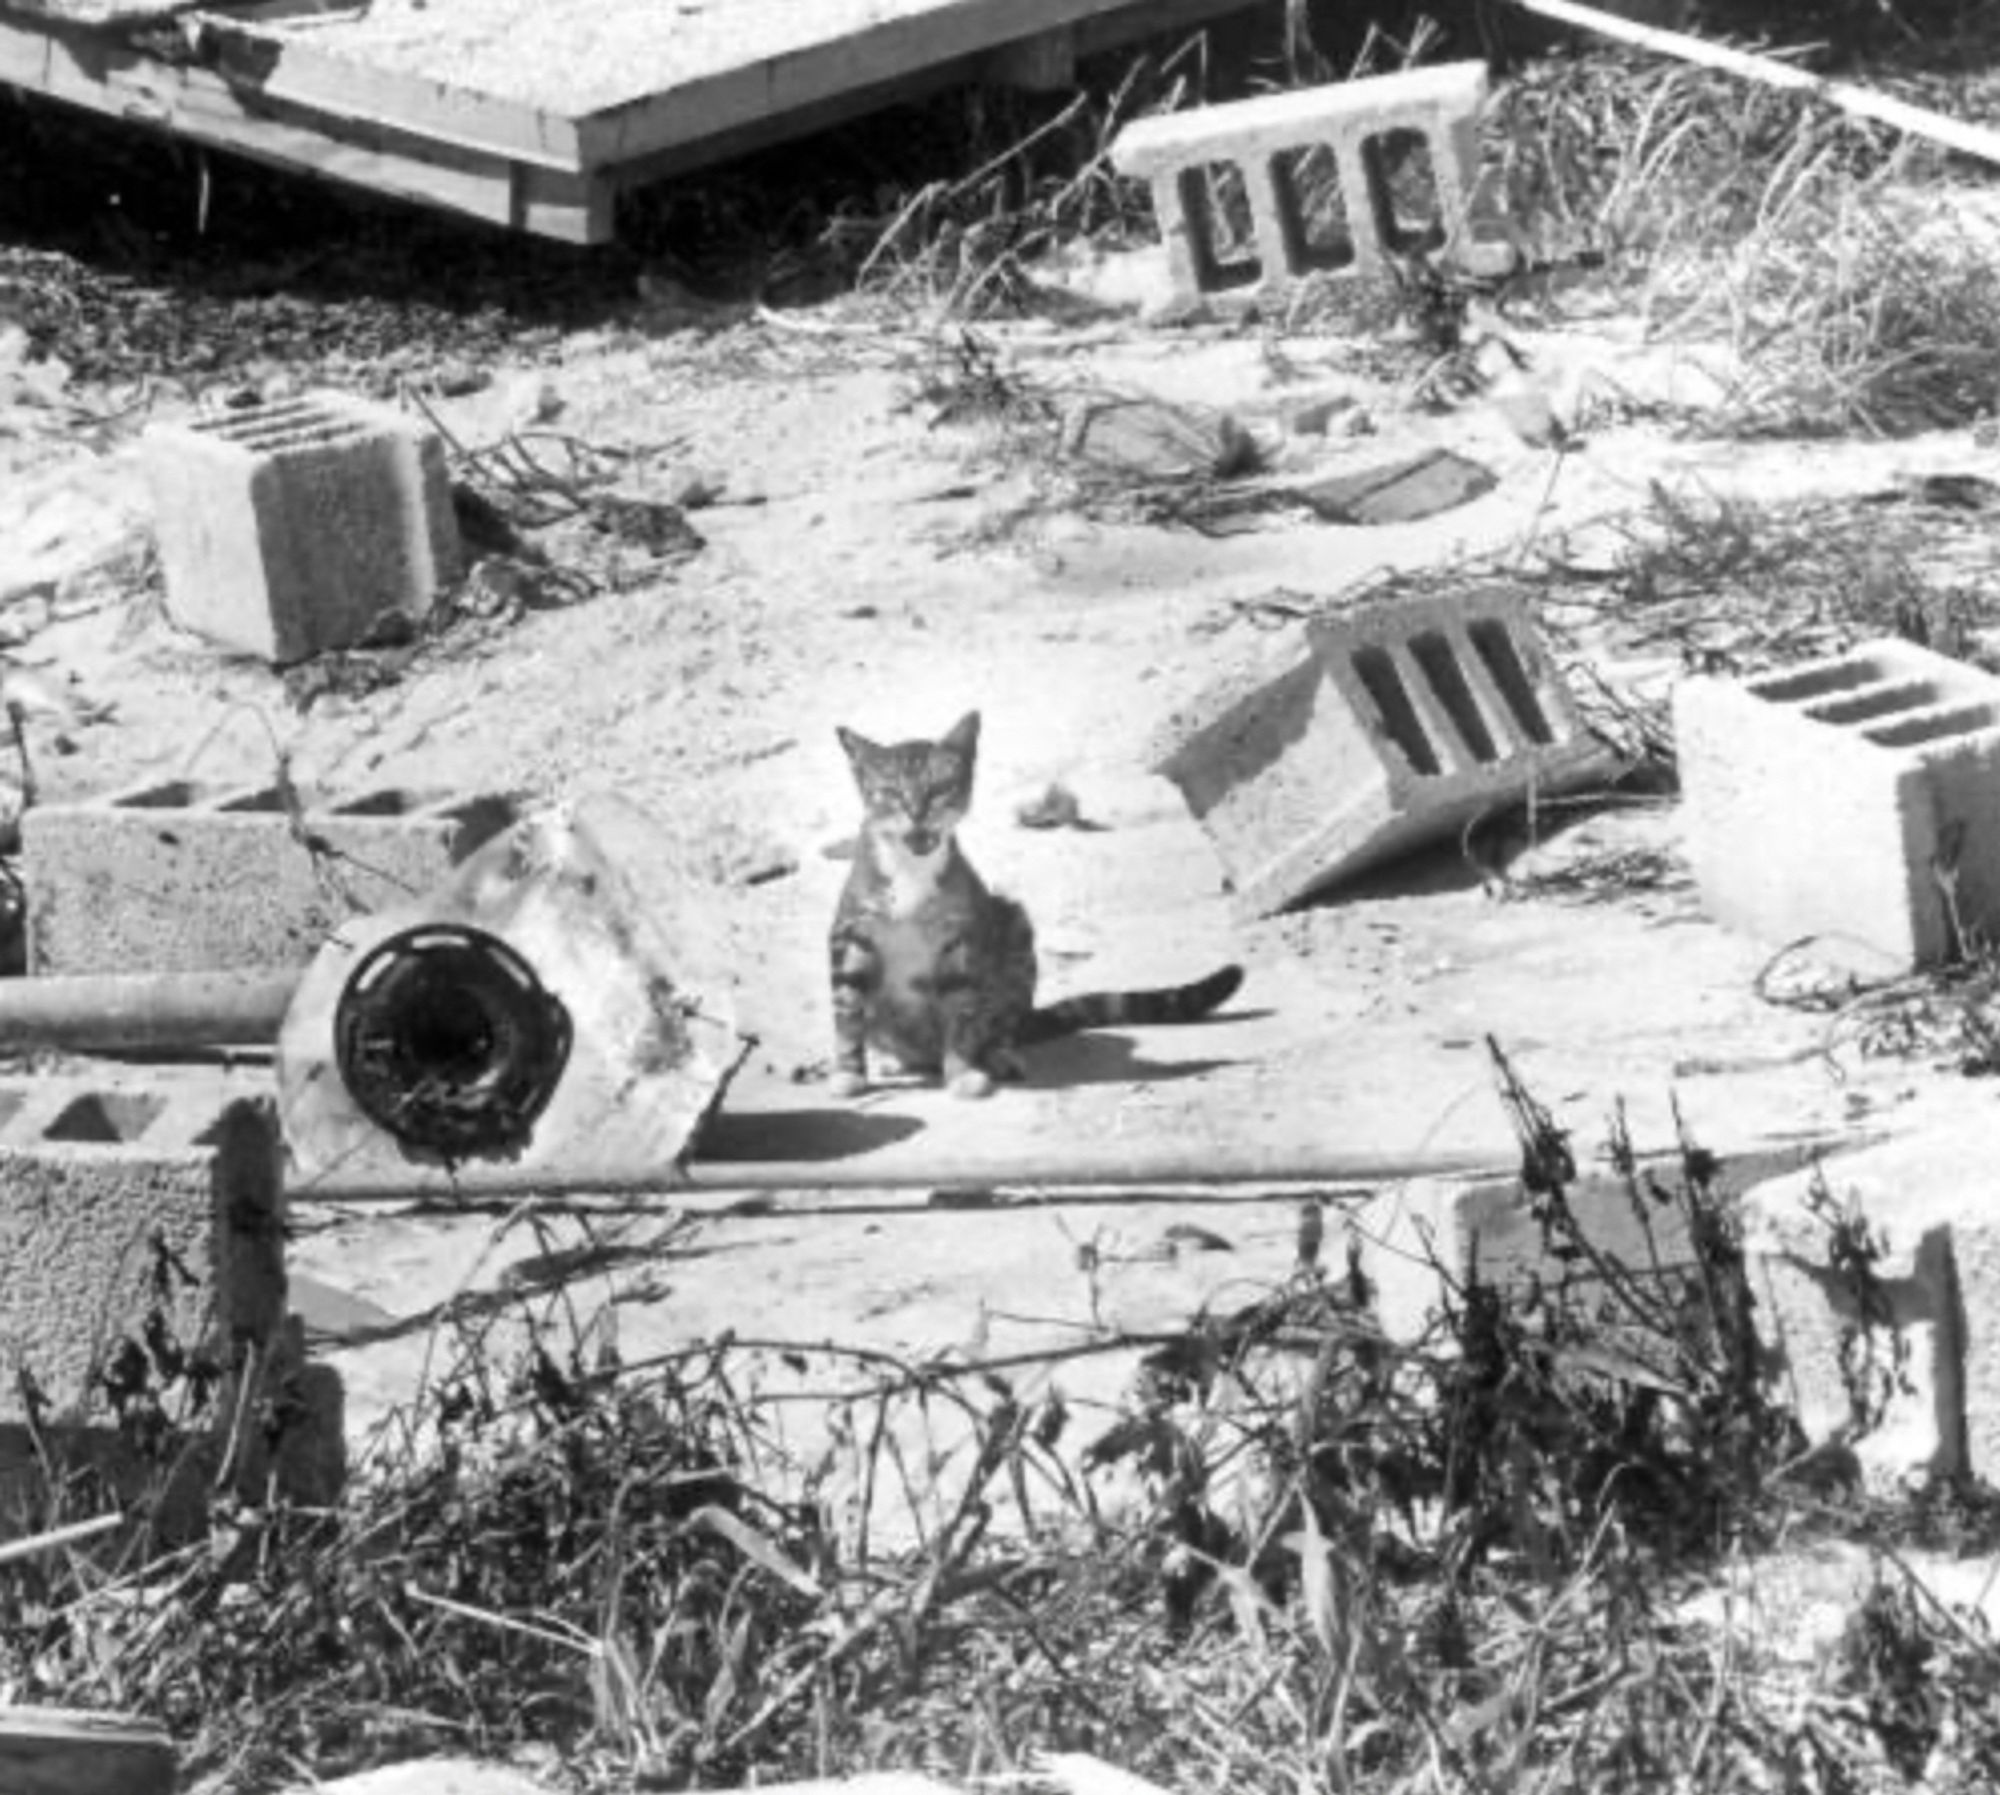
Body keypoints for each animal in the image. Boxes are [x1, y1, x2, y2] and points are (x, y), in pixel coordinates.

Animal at [824, 711, 1232, 1095]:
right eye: (890, 792)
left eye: (940, 788)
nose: (916, 813)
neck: (910, 868)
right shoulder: (850, 934)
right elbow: (847, 1012)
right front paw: (848, 1073)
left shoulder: (960, 940)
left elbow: (960, 1011)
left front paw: (961, 1073)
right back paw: (895, 1060)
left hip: (1015, 929)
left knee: (1001, 1022)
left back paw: (996, 1055)